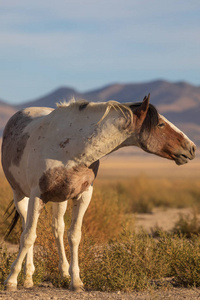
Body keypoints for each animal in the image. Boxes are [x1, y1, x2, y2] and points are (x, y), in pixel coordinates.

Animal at [0, 94, 196, 290]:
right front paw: (11, 280)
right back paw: (28, 277)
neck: (70, 150)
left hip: (60, 200)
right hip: (20, 196)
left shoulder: (83, 196)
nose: (192, 148)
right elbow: (28, 237)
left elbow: (74, 236)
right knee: (26, 227)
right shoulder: (37, 196)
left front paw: (76, 281)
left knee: (57, 229)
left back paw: (61, 273)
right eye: (160, 124)